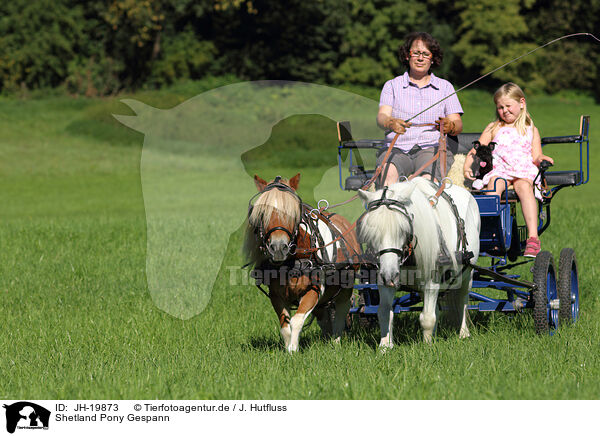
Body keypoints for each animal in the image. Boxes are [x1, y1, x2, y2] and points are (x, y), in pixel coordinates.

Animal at [244, 173, 360, 350]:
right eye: (263, 214)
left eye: (292, 212)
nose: (278, 248)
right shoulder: (276, 295)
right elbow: (285, 326)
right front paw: (288, 349)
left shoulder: (314, 290)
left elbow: (296, 320)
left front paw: (293, 350)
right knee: (323, 315)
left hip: (346, 285)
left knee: (342, 309)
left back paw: (335, 341)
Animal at [358, 177, 480, 348]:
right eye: (370, 233)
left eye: (403, 229)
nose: (389, 276)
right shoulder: (383, 280)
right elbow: (384, 312)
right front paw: (385, 346)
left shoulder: (432, 281)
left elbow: (427, 317)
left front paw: (427, 346)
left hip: (467, 274)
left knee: (462, 300)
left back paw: (463, 333)